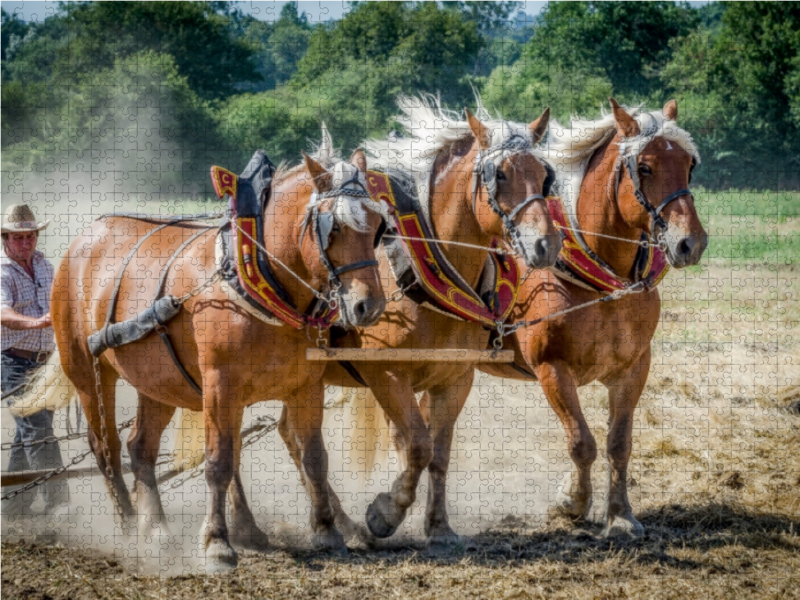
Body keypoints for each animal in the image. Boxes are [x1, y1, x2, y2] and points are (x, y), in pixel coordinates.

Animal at [47, 143, 390, 568]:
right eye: (335, 227)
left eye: (378, 224)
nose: (368, 306)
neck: (257, 276)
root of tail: (83, 240)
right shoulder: (220, 385)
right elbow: (218, 461)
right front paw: (217, 542)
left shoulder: (306, 386)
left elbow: (314, 458)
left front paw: (326, 530)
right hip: (86, 372)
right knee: (105, 448)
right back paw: (128, 527)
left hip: (159, 381)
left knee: (140, 447)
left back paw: (157, 530)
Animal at [476, 101, 708, 536]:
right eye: (645, 167)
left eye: (689, 165)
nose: (691, 242)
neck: (601, 281)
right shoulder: (552, 369)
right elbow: (581, 441)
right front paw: (571, 502)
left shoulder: (633, 368)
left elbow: (619, 444)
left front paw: (620, 516)